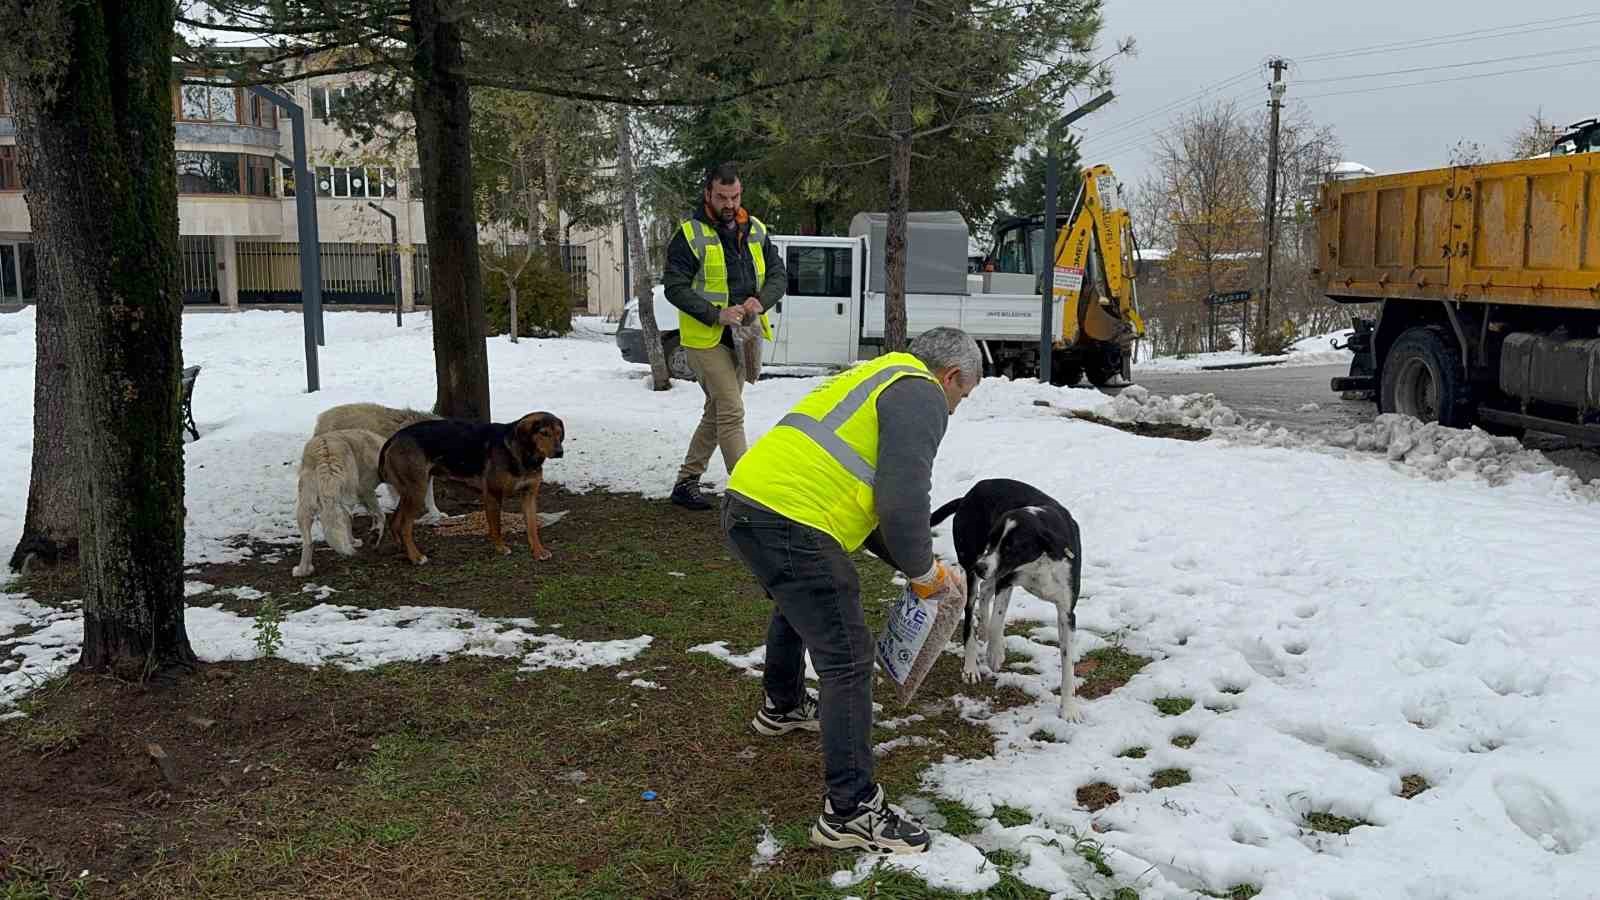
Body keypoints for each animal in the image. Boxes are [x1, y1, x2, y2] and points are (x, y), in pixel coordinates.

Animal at [292, 425, 385, 573]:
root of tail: (327, 454)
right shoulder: (365, 491)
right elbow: (378, 515)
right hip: (344, 499)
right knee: (353, 519)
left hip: (305, 507)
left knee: (308, 542)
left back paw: (303, 571)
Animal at [377, 413, 566, 563]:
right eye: (544, 433)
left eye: (559, 433)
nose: (560, 452)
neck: (524, 455)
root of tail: (395, 437)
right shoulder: (492, 494)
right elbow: (496, 527)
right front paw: (501, 548)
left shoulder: (529, 496)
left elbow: (533, 527)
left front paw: (538, 551)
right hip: (418, 490)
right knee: (404, 526)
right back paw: (416, 557)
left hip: (409, 491)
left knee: (395, 522)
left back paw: (403, 550)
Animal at [928, 477, 1088, 720]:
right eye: (992, 540)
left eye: (1011, 546)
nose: (980, 566)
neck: (1039, 562)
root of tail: (967, 495)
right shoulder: (1005, 581)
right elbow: (997, 622)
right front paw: (995, 655)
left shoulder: (1066, 611)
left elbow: (1067, 661)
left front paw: (1068, 709)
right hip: (972, 569)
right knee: (970, 615)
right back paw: (971, 666)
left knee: (985, 591)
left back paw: (983, 632)